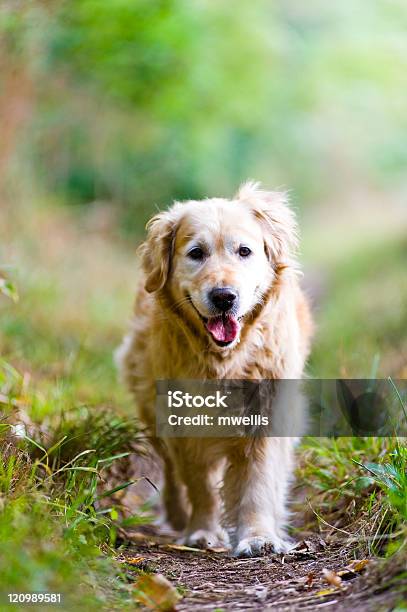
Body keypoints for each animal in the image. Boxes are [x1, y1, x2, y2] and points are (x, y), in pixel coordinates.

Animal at [116, 180, 314, 556]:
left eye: (244, 251)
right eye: (196, 253)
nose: (224, 296)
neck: (224, 362)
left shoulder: (266, 414)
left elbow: (258, 482)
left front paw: (258, 536)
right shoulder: (184, 424)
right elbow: (199, 483)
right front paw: (202, 531)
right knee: (170, 470)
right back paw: (178, 514)